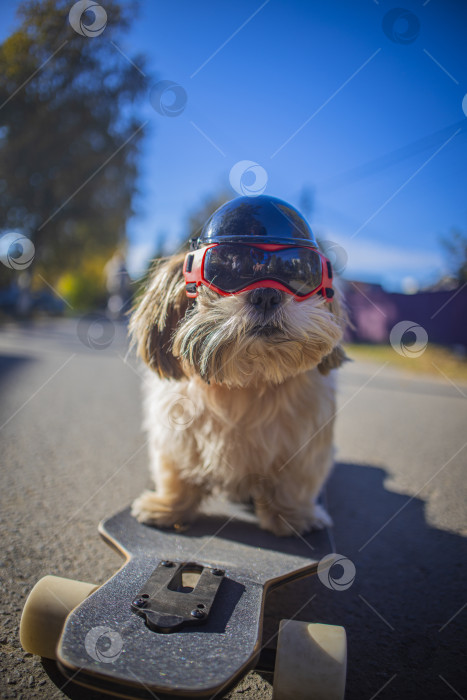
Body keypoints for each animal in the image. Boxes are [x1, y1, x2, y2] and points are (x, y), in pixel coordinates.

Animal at [129, 196, 348, 536]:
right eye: (227, 268)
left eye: (299, 271)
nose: (266, 294)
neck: (247, 382)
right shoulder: (174, 435)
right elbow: (176, 473)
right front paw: (168, 507)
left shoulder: (307, 445)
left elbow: (295, 482)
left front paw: (294, 516)